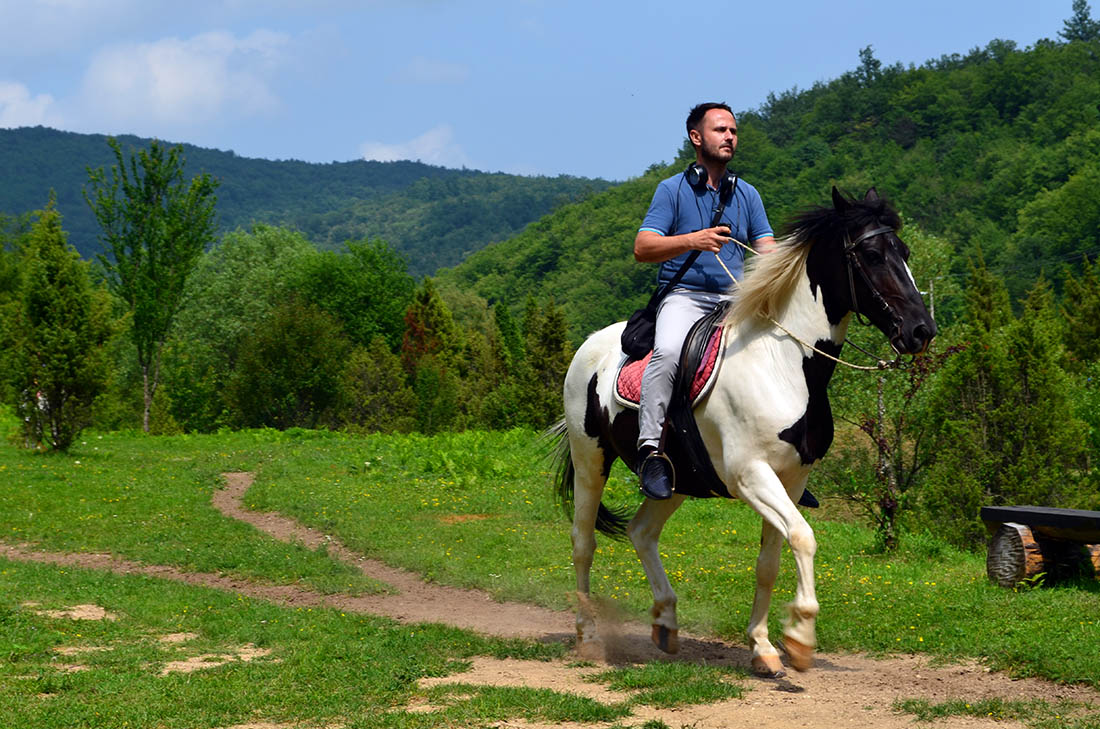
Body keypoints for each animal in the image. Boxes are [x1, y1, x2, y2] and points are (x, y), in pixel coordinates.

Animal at [554, 188, 932, 677]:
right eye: (871, 255)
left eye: (903, 252)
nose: (922, 330)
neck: (782, 363)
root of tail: (590, 347)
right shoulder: (751, 475)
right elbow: (803, 537)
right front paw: (800, 636)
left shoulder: (792, 480)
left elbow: (770, 561)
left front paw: (764, 647)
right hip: (591, 461)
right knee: (584, 542)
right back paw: (588, 635)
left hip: (677, 480)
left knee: (641, 532)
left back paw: (666, 621)